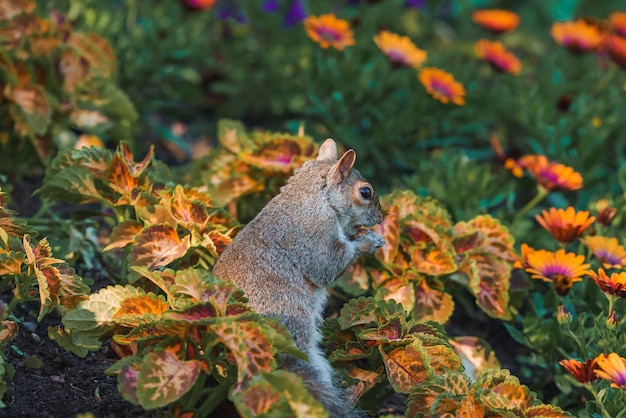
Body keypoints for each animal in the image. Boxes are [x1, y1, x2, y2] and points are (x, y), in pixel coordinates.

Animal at [212, 139, 382, 416]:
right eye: (365, 192)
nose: (380, 217)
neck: (313, 196)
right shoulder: (316, 237)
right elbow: (328, 266)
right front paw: (369, 241)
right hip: (291, 322)